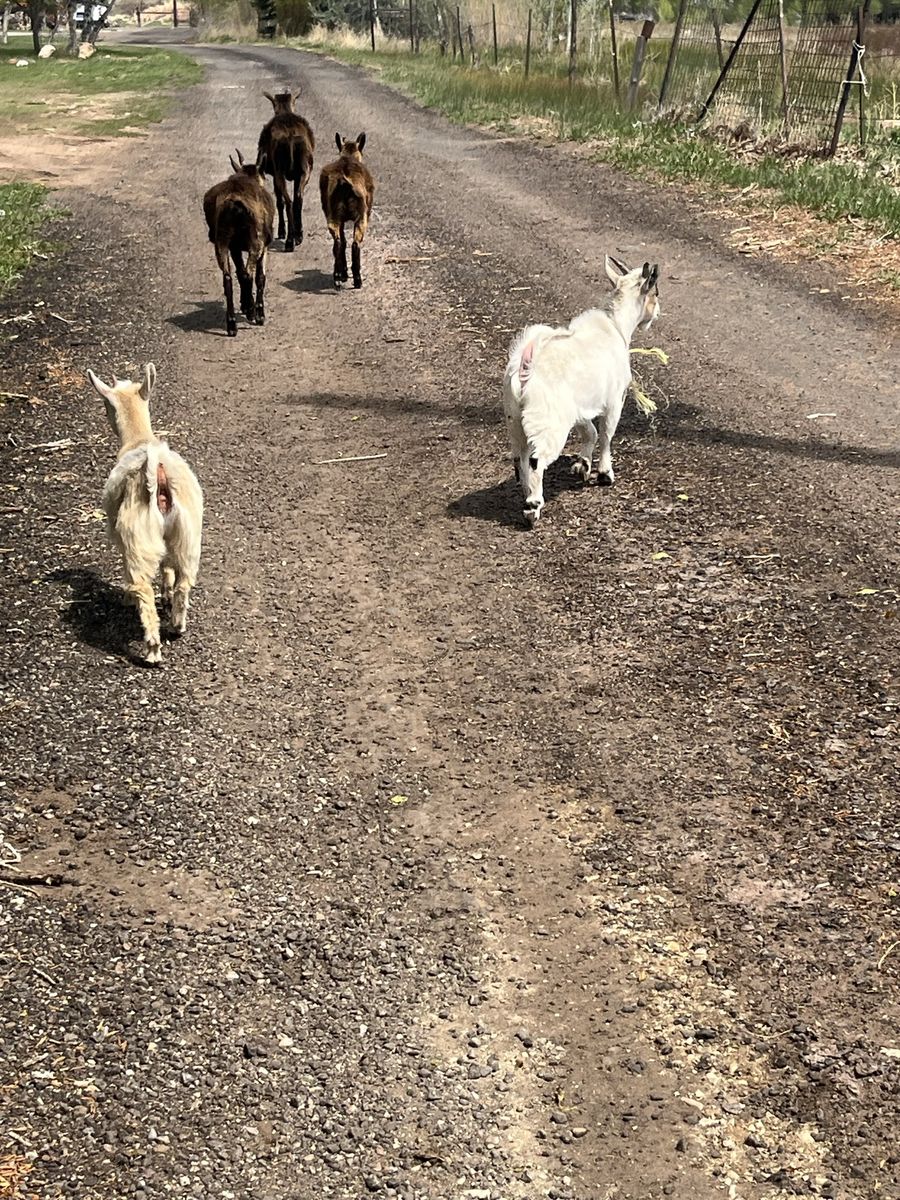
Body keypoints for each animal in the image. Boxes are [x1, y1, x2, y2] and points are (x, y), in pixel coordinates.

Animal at [88, 364, 204, 664]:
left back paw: (152, 649)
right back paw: (176, 625)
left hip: (137, 539)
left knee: (142, 588)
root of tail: (156, 469)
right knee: (184, 582)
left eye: (106, 404)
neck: (139, 438)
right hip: (187, 538)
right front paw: (167, 593)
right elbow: (167, 568)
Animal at [202, 149, 275, 337]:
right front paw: (258, 313)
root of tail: (234, 204)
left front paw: (244, 304)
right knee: (248, 274)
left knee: (228, 278)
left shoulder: (234, 248)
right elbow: (260, 277)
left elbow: (239, 271)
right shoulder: (264, 246)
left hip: (221, 242)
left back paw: (232, 324)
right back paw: (251, 313)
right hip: (255, 241)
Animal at [256, 89, 315, 253]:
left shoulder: (273, 173)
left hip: (279, 171)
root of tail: (290, 137)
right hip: (304, 170)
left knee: (287, 201)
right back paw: (298, 235)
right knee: (298, 198)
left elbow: (279, 201)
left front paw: (281, 231)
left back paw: (289, 240)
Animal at [319, 132, 375, 289]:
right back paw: (355, 279)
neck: (348, 156)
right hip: (361, 219)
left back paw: (338, 276)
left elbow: (342, 241)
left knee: (339, 243)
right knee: (353, 245)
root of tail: (344, 182)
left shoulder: (341, 221)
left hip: (334, 219)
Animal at [502, 256, 661, 527]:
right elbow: (606, 434)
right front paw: (605, 474)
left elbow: (590, 431)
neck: (615, 324)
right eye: (655, 292)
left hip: (515, 419)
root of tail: (525, 369)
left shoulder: (579, 408)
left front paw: (583, 465)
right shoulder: (615, 399)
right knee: (535, 459)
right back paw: (533, 506)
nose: (658, 310)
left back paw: (527, 492)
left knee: (518, 457)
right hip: (548, 422)